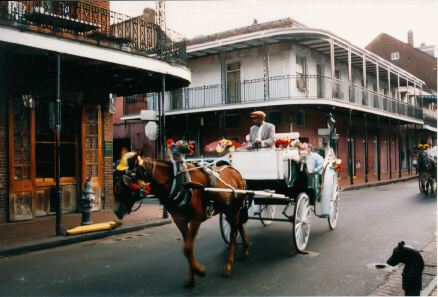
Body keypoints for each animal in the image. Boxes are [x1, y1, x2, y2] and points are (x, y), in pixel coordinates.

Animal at [113, 154, 250, 288]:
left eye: (121, 186)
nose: (116, 211)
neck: (179, 182)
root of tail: (236, 172)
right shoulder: (180, 219)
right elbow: (187, 248)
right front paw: (191, 276)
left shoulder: (196, 218)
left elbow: (188, 247)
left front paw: (198, 270)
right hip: (227, 209)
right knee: (239, 225)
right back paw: (245, 248)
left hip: (235, 208)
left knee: (233, 235)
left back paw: (228, 265)